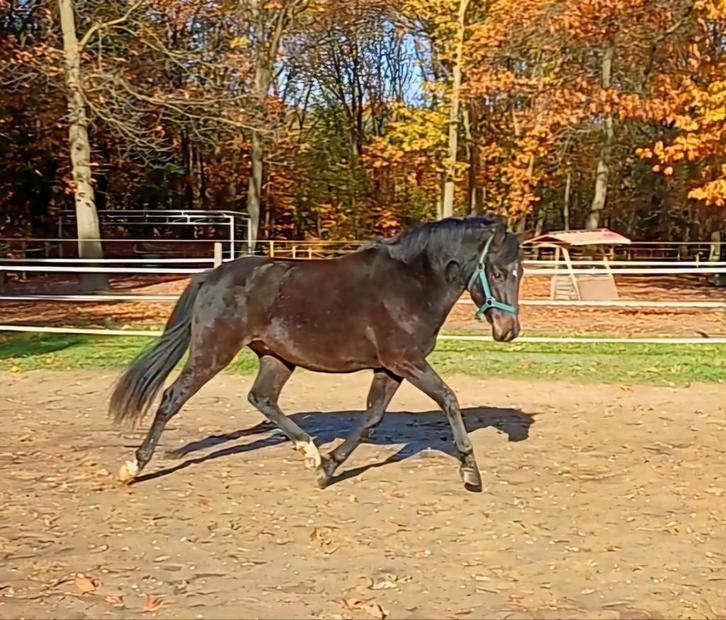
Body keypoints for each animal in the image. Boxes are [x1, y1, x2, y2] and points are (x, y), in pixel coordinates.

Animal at [109, 215, 523, 492]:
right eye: (498, 273)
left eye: (518, 272)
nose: (509, 331)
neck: (409, 285)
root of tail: (211, 276)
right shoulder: (406, 361)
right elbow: (449, 399)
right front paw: (471, 472)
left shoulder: (390, 368)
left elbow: (371, 418)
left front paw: (328, 468)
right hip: (213, 352)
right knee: (172, 398)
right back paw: (133, 467)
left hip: (276, 358)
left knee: (262, 398)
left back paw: (309, 451)